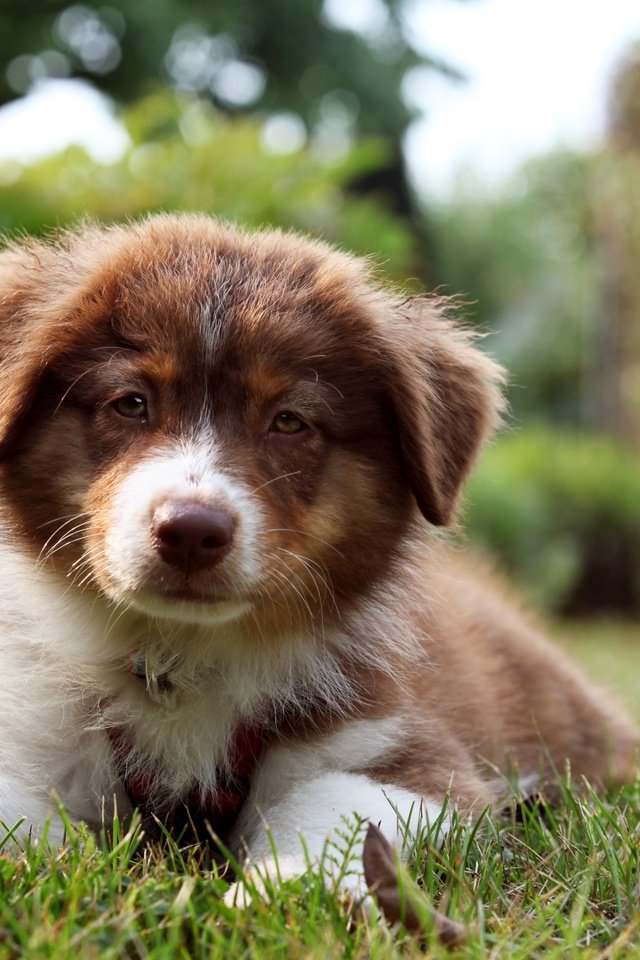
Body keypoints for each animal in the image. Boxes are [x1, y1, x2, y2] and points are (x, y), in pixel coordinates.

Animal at [0, 216, 636, 900]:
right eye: (131, 402)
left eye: (289, 421)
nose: (191, 532)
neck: (182, 660)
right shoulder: (41, 734)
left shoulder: (404, 750)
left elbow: (329, 809)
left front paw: (271, 892)